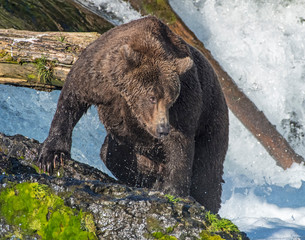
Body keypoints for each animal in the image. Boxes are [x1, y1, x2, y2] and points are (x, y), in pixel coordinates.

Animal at [38, 16, 227, 212]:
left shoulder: (185, 103)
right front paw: (53, 156)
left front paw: (174, 191)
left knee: (207, 174)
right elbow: (72, 98)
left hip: (212, 126)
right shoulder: (99, 76)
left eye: (170, 100)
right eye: (152, 97)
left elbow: (180, 144)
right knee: (113, 155)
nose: (162, 129)